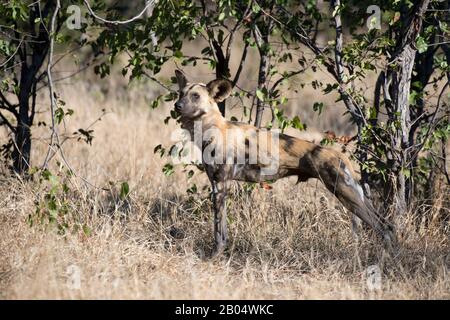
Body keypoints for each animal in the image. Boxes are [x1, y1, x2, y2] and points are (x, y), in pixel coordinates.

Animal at [174, 70, 396, 258]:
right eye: (180, 93)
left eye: (195, 96)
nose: (177, 106)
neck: (211, 129)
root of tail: (340, 155)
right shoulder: (217, 183)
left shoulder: (220, 185)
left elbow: (219, 230)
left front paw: (215, 256)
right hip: (354, 196)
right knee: (388, 225)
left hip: (346, 194)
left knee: (384, 228)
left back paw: (388, 257)